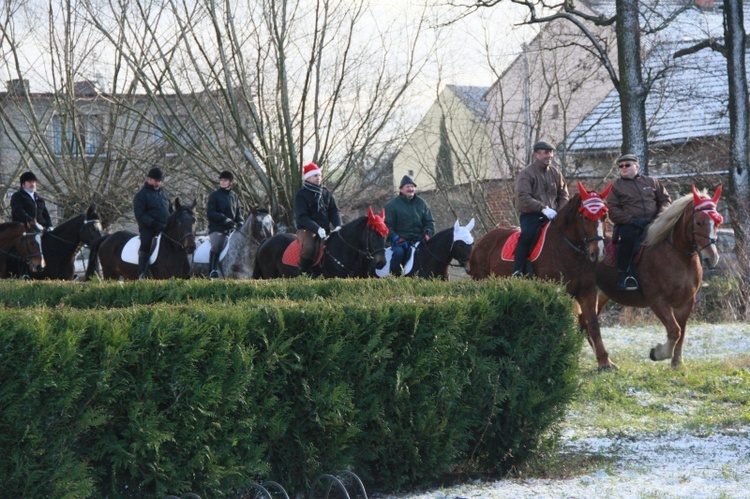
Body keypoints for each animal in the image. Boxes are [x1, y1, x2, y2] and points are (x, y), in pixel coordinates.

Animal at [472, 182, 612, 370]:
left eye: (604, 216)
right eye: (585, 217)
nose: (597, 253)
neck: (568, 251)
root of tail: (480, 242)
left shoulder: (587, 291)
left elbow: (593, 325)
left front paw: (604, 362)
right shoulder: (556, 293)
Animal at [592, 186, 724, 370]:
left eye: (717, 223)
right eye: (698, 222)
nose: (711, 258)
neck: (677, 257)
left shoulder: (686, 303)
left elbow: (681, 331)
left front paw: (677, 363)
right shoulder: (658, 301)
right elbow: (675, 330)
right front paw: (658, 353)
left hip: (600, 295)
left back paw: (604, 362)